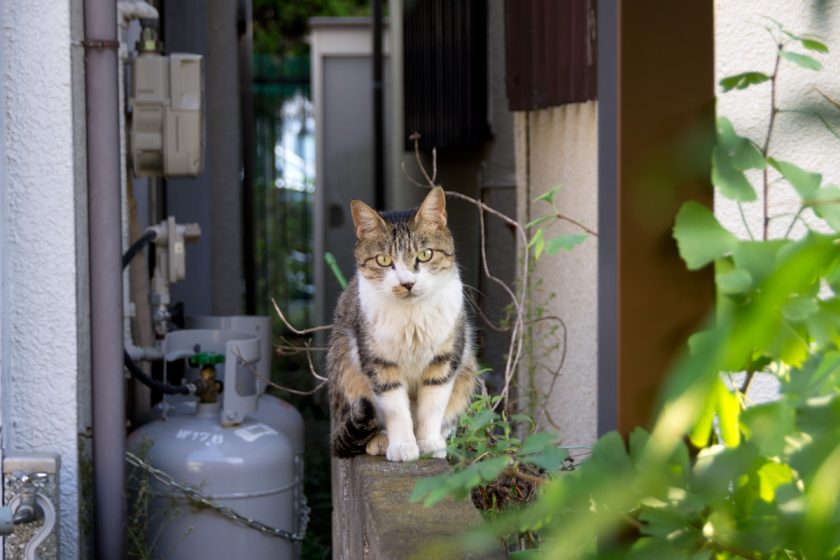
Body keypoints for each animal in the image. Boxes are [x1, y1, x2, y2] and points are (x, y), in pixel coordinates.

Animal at [324, 186, 476, 462]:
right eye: (384, 260)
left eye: (425, 254)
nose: (407, 283)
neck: (411, 317)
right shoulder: (380, 363)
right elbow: (395, 408)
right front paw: (403, 446)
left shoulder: (444, 359)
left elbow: (433, 406)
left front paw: (429, 443)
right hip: (344, 366)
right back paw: (380, 441)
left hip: (468, 372)